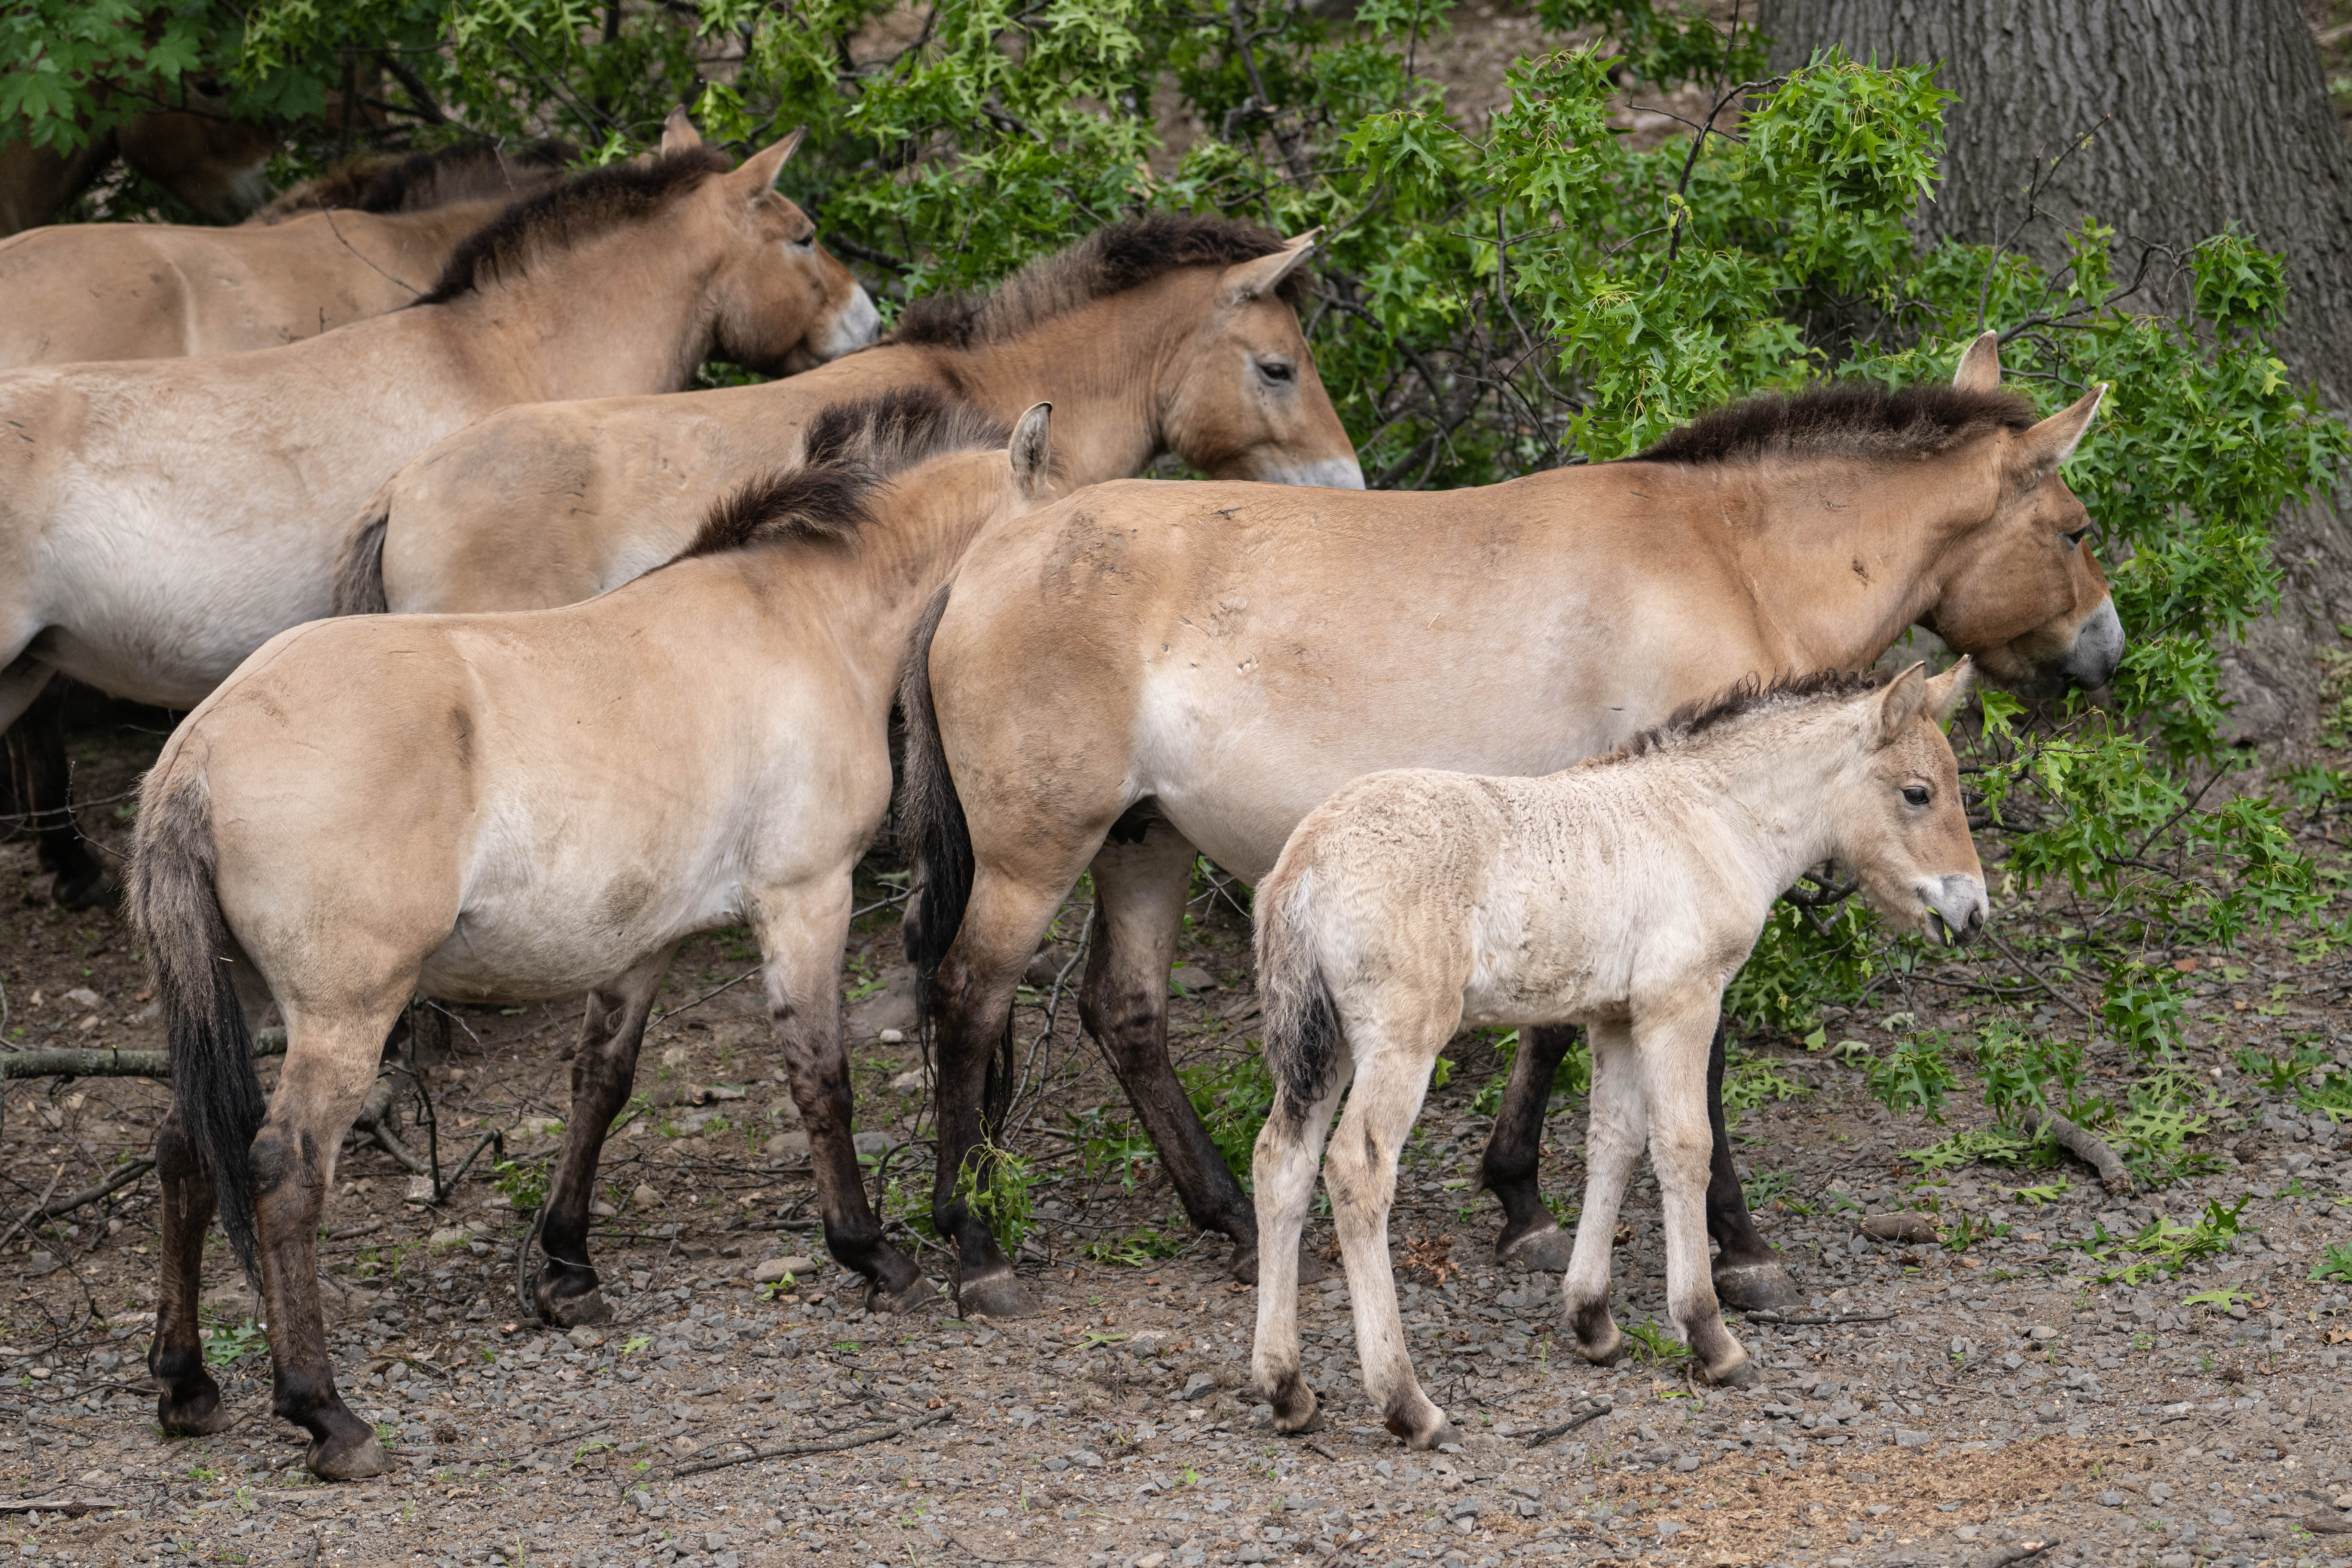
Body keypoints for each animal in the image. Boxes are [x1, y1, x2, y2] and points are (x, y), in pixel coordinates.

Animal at [125, 390, 1052, 1480]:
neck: (807, 618)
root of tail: (198, 748)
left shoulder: (643, 942)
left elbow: (599, 1084)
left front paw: (565, 1270)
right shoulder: (804, 897)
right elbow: (820, 1078)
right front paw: (871, 1252)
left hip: (227, 992)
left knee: (184, 1144)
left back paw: (187, 1382)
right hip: (345, 1012)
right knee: (282, 1168)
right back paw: (325, 1412)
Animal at [895, 335, 2117, 1319]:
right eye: (2072, 529)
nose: (2106, 653)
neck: (1725, 558)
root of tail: (985, 560)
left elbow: (1554, 1029)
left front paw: (1520, 1201)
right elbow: (1697, 1068)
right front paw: (1740, 1249)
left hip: (1143, 842)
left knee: (1127, 1012)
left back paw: (1232, 1219)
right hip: (1034, 858)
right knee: (967, 1000)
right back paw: (977, 1248)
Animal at [1247, 662, 1984, 1448]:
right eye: (1918, 792)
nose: (1973, 913)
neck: (1712, 819)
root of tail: (1303, 861)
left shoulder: (1616, 1018)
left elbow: (1614, 1144)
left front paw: (1593, 1322)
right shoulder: (1680, 1003)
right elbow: (1685, 1148)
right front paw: (1710, 1336)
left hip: (1325, 1047)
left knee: (1281, 1162)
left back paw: (1288, 1390)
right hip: (1401, 1040)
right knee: (1358, 1170)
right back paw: (1407, 1403)